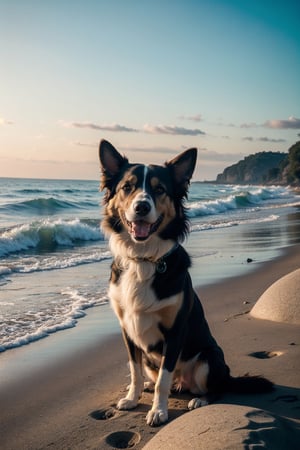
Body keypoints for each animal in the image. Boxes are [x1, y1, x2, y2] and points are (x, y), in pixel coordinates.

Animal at [99, 139, 274, 428]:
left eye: (160, 189)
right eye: (127, 187)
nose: (141, 207)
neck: (144, 258)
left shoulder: (175, 331)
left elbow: (164, 378)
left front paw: (158, 411)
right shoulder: (126, 329)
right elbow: (134, 370)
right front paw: (133, 397)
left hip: (209, 357)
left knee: (216, 387)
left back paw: (200, 399)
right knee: (156, 376)